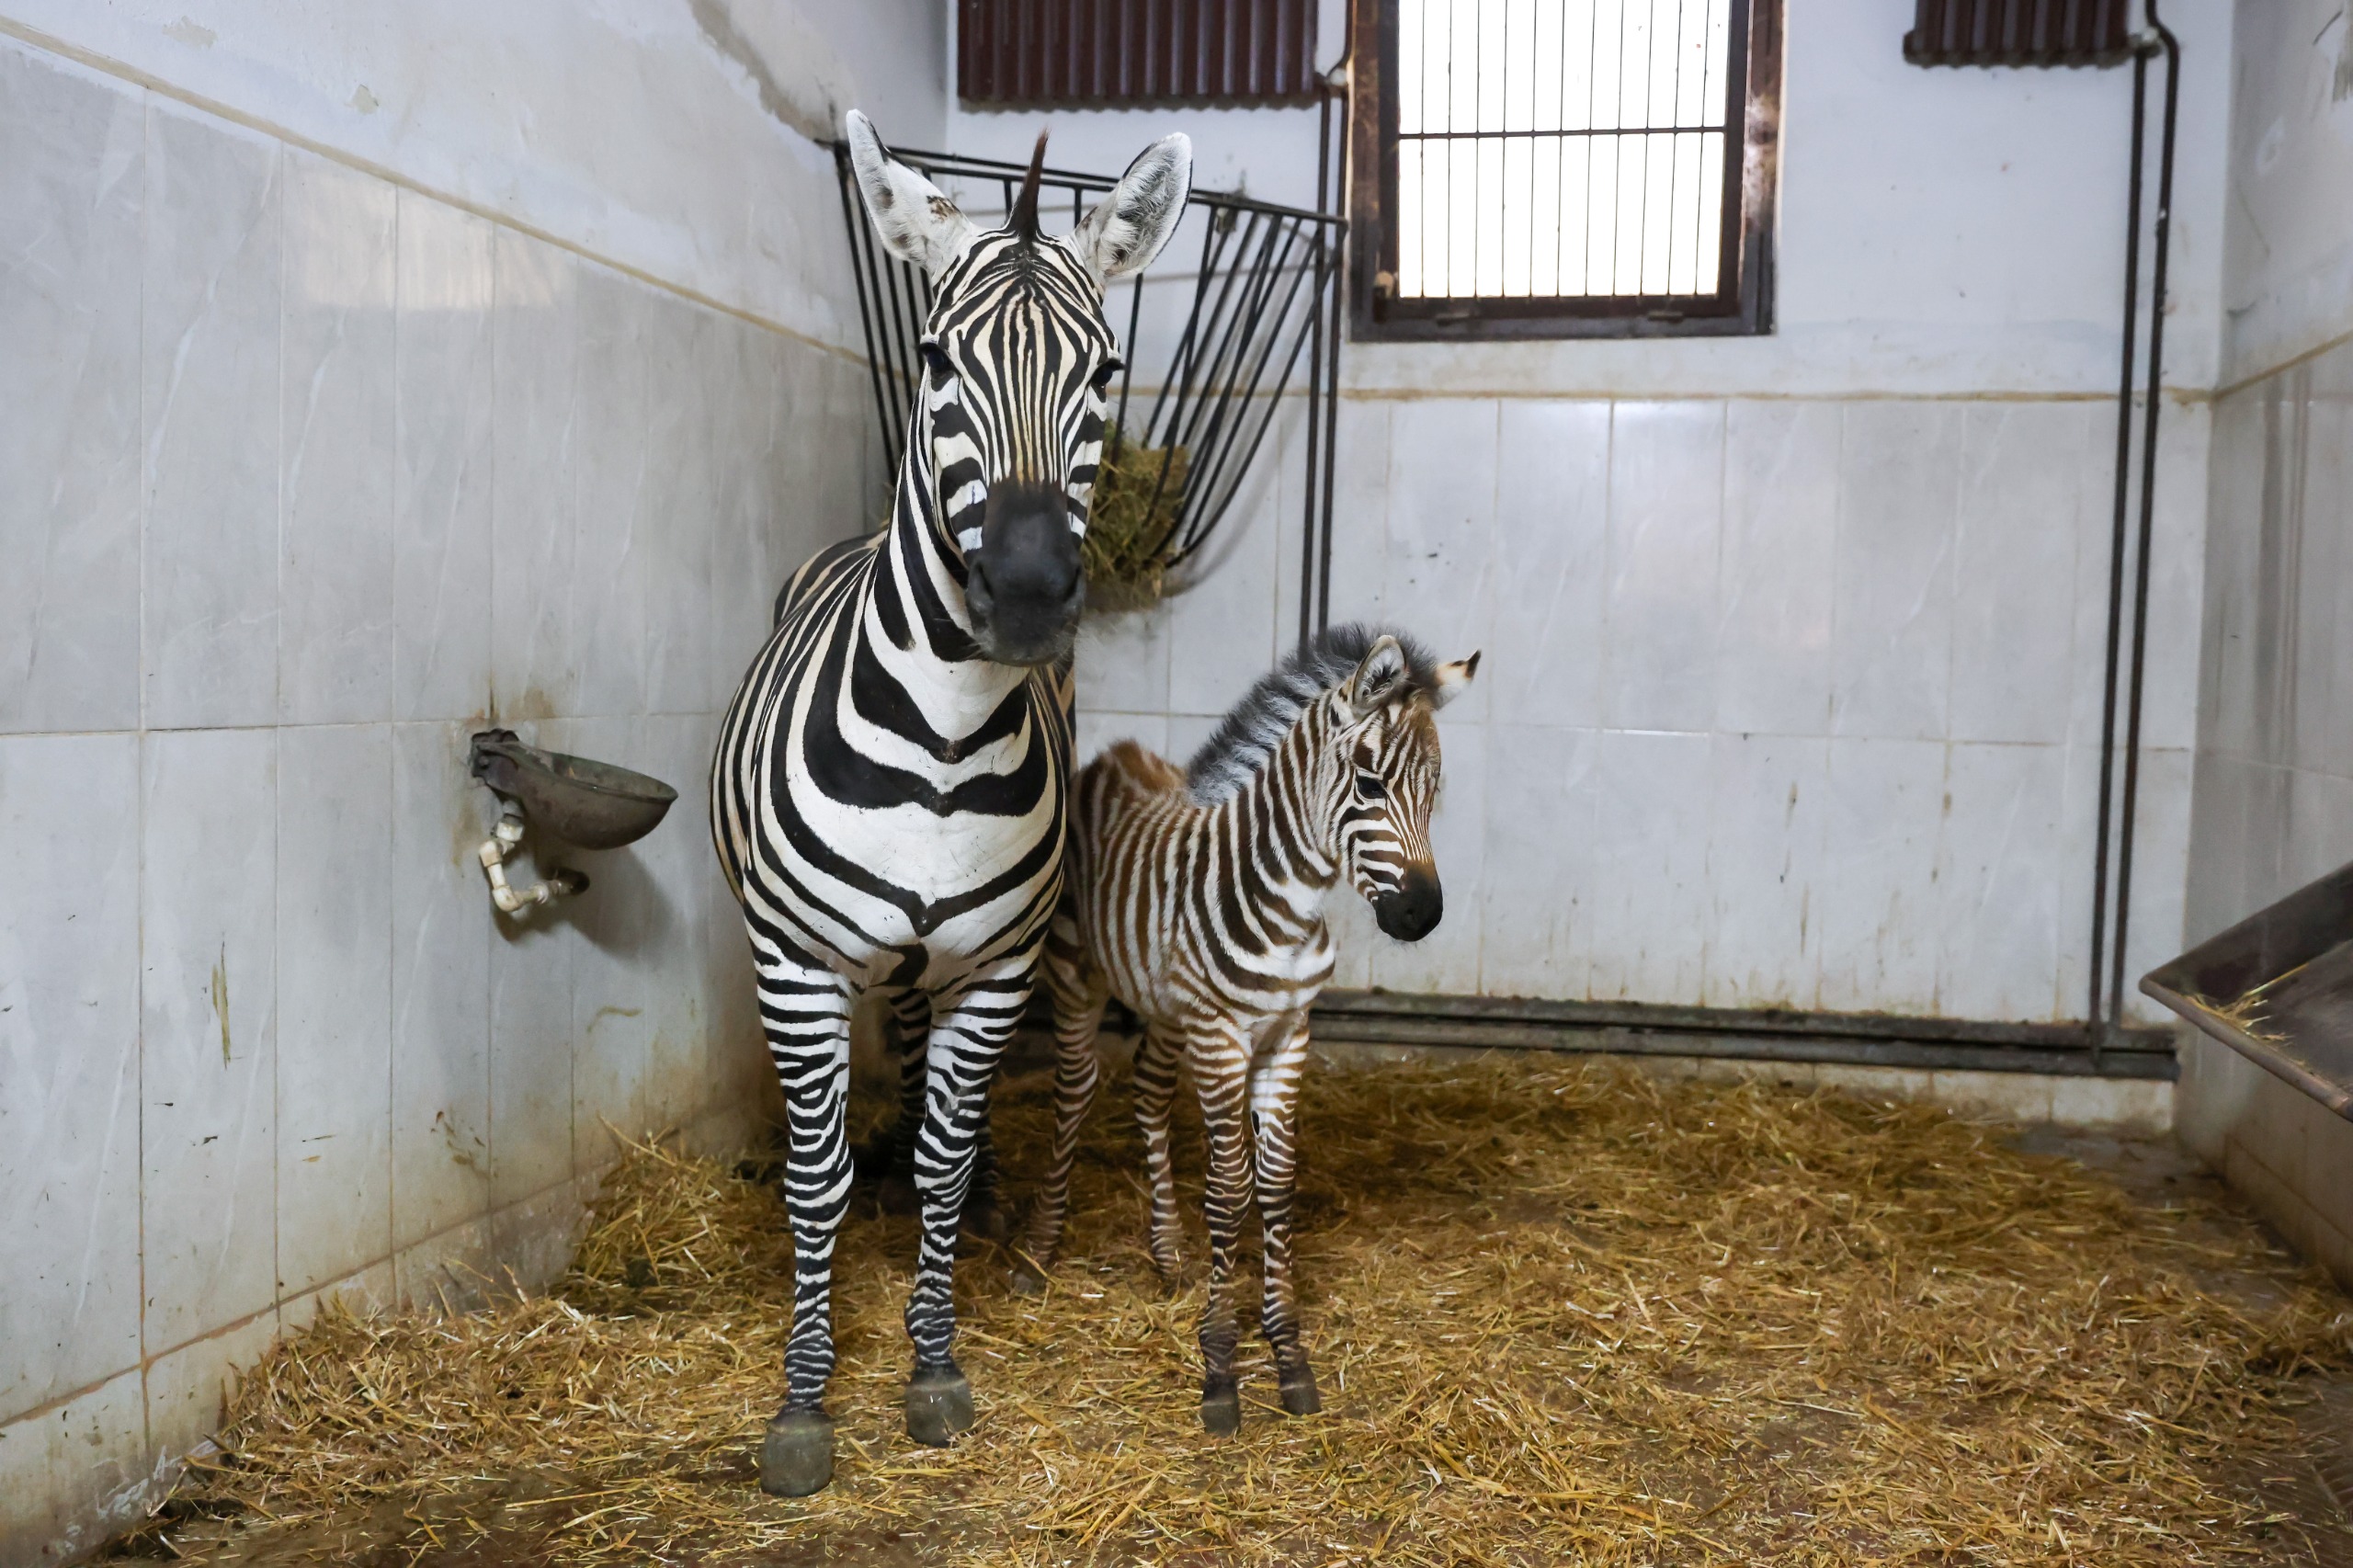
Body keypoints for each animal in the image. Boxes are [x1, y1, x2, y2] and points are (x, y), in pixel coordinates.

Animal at [709, 111, 1190, 1496]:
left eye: (1105, 368)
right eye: (933, 359)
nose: (1026, 591)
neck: (938, 743)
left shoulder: (993, 966)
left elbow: (941, 1148)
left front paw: (932, 1362)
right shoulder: (798, 962)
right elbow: (814, 1176)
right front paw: (805, 1399)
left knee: (929, 1087)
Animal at [1020, 625, 1479, 1435]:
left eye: (1435, 793)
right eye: (1370, 786)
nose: (1422, 915)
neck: (1288, 907)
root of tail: (1116, 755)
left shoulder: (1287, 1033)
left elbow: (1275, 1182)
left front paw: (1287, 1352)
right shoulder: (1222, 1038)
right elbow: (1230, 1188)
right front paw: (1220, 1362)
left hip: (1168, 1007)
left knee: (1146, 1091)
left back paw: (1167, 1253)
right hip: (1078, 975)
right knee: (1074, 1093)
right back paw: (1044, 1246)